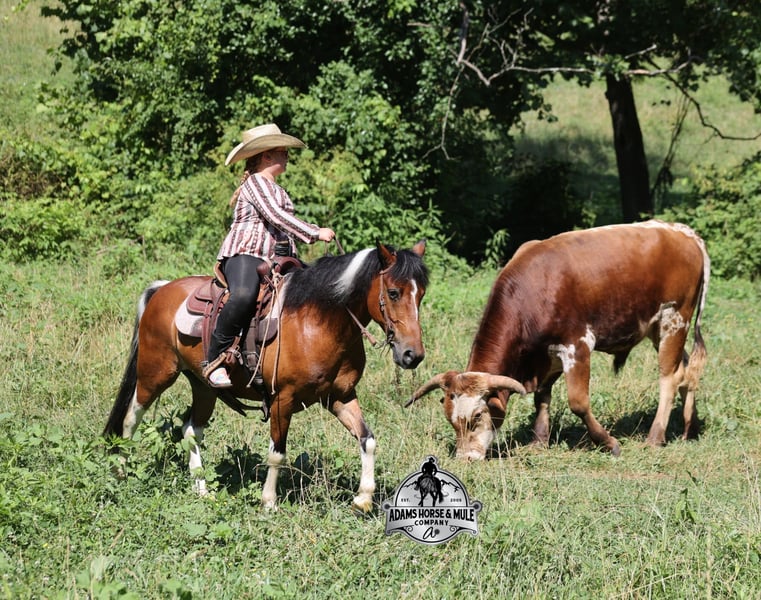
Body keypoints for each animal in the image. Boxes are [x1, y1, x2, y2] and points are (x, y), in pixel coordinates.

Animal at [104, 241, 428, 512]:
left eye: (421, 296)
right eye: (393, 292)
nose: (412, 355)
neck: (319, 323)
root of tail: (162, 289)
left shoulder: (340, 396)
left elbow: (367, 439)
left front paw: (363, 498)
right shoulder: (282, 399)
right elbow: (277, 452)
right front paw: (269, 501)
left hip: (203, 386)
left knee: (191, 430)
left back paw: (202, 489)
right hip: (155, 373)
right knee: (131, 418)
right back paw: (120, 471)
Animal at [407, 220, 710, 460]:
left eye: (478, 416)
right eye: (451, 419)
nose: (465, 458)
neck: (534, 289)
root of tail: (683, 232)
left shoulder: (578, 345)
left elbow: (578, 402)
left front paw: (608, 442)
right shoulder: (544, 353)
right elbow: (541, 397)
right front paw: (539, 440)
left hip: (674, 320)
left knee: (670, 377)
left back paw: (655, 436)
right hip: (659, 329)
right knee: (687, 370)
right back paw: (689, 426)